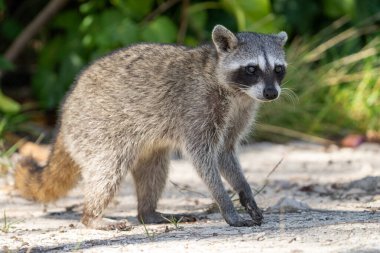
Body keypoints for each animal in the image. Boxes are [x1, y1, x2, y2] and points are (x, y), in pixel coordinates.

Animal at [15, 25, 288, 229]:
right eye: (251, 69)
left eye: (278, 69)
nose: (271, 93)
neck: (236, 92)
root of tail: (66, 110)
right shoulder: (198, 106)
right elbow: (202, 157)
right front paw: (225, 203)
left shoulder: (240, 112)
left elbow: (225, 152)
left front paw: (244, 190)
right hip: (96, 128)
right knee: (108, 171)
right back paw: (92, 217)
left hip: (143, 145)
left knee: (154, 171)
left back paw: (148, 212)